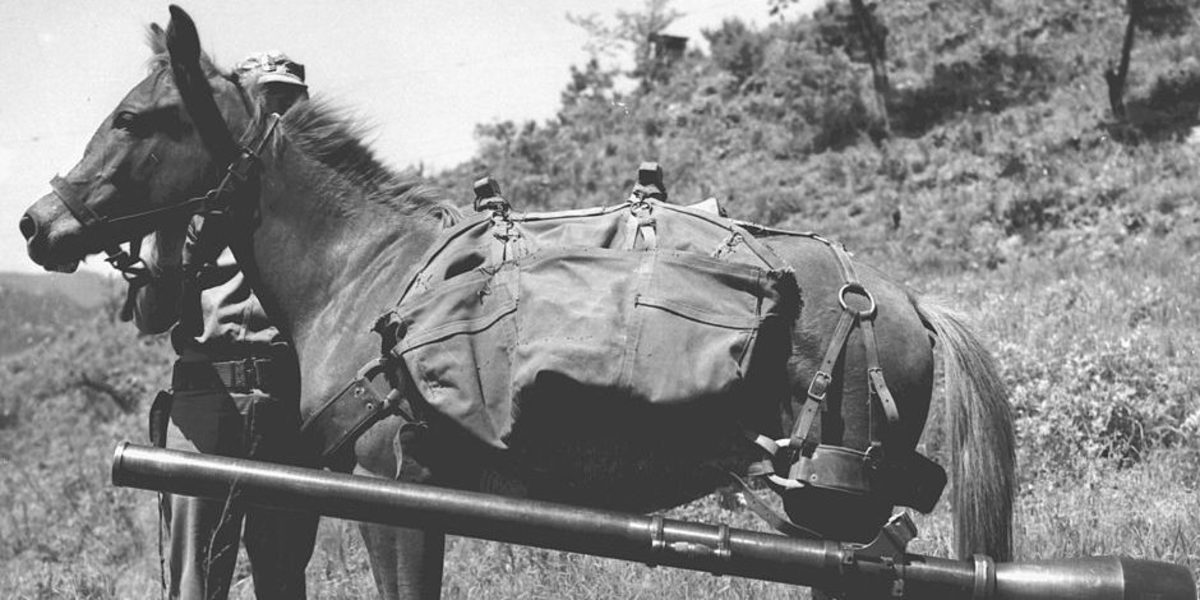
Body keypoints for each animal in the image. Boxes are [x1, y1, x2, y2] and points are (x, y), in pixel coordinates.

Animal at [18, 5, 1012, 600]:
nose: (36, 223)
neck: (363, 269)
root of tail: (903, 300)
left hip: (833, 513)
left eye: (134, 118)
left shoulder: (396, 495)